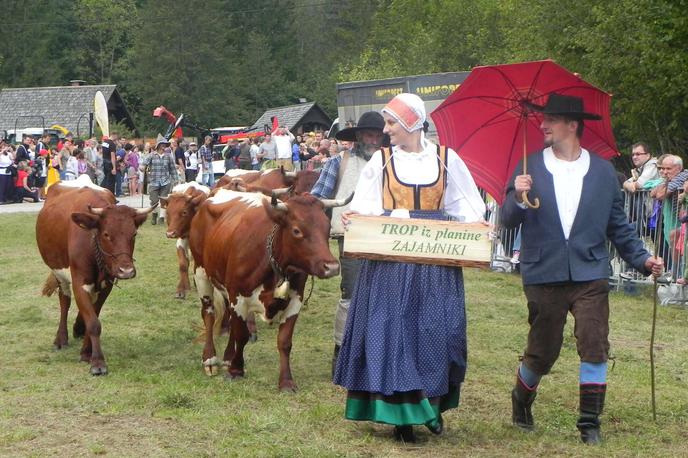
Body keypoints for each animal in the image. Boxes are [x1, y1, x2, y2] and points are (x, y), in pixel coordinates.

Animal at [36, 175, 156, 376]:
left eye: (134, 234)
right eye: (106, 234)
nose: (126, 271)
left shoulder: (106, 284)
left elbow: (94, 316)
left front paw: (86, 352)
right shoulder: (79, 281)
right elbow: (93, 322)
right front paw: (98, 362)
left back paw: (77, 329)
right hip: (59, 272)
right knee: (64, 301)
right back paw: (61, 338)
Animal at [189, 188, 346, 388]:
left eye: (327, 228)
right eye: (296, 230)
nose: (331, 267)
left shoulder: (295, 300)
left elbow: (285, 342)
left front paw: (286, 381)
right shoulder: (238, 297)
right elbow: (242, 335)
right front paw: (236, 370)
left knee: (228, 316)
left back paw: (228, 357)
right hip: (201, 272)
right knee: (208, 314)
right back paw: (210, 359)